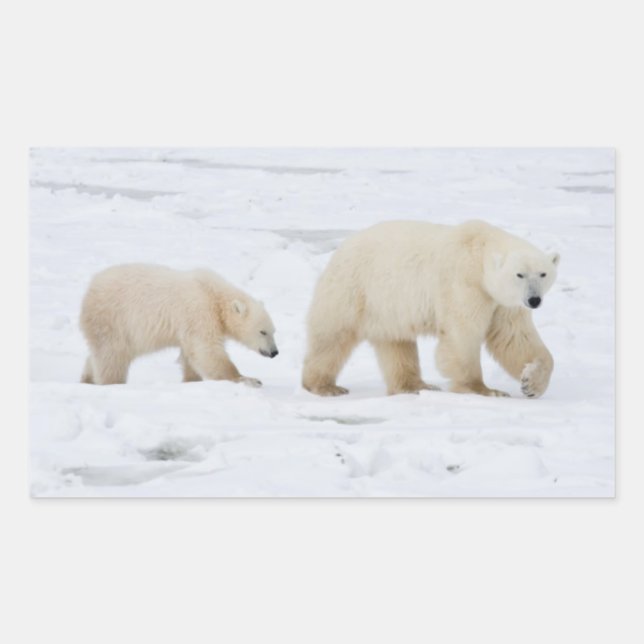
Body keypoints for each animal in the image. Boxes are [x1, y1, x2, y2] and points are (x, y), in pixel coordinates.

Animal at [79, 264, 278, 386]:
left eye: (273, 331)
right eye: (263, 332)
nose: (274, 352)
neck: (214, 294)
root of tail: (90, 288)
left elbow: (191, 354)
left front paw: (191, 380)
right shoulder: (199, 311)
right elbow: (206, 350)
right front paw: (249, 380)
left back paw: (87, 378)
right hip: (113, 319)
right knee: (112, 356)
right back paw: (112, 383)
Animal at [302, 220, 559, 398]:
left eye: (543, 274)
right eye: (519, 274)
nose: (534, 300)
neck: (478, 252)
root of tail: (341, 249)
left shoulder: (504, 303)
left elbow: (514, 338)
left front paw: (531, 383)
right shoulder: (464, 284)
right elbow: (462, 335)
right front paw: (484, 390)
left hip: (388, 308)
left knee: (396, 344)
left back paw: (415, 386)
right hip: (354, 289)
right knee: (332, 336)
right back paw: (325, 386)